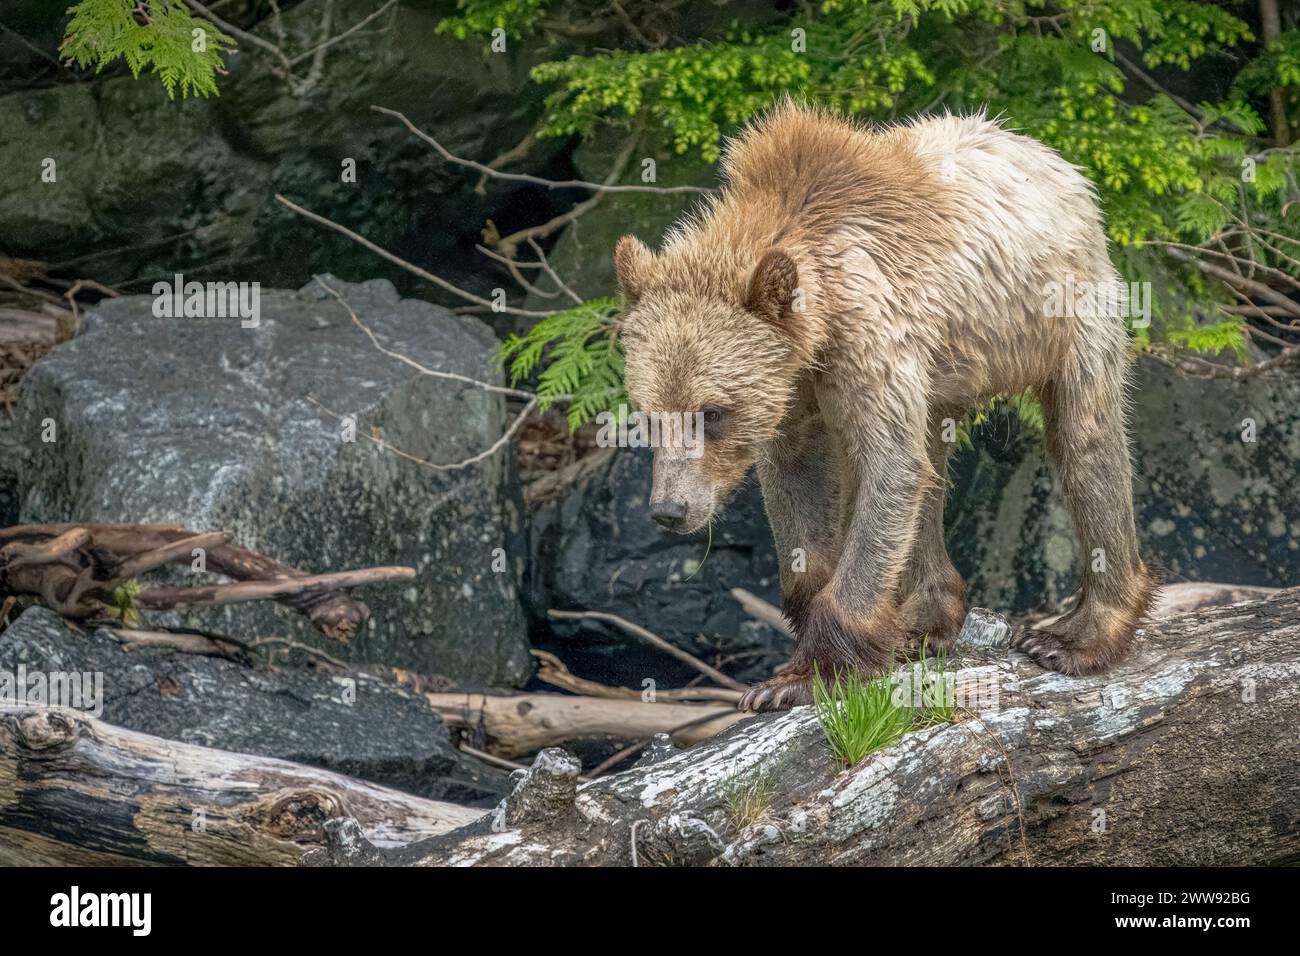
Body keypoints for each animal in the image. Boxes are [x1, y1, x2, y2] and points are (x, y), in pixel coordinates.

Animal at [613, 98, 1164, 712]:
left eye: (711, 412)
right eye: (649, 414)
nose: (670, 509)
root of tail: (1051, 159)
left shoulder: (869, 335)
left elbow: (890, 470)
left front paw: (804, 675)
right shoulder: (794, 383)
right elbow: (801, 485)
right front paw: (814, 630)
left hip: (1065, 313)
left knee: (1085, 440)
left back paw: (1079, 633)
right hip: (948, 367)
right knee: (930, 463)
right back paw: (924, 619)